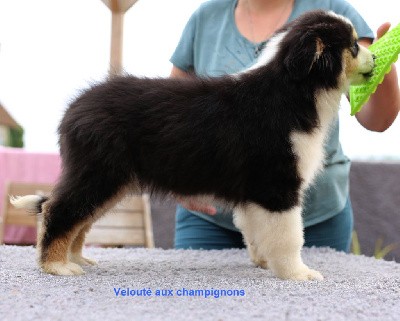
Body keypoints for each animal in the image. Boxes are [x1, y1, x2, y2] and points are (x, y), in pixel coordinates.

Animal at [12, 10, 376, 278]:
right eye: (353, 46)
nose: (375, 58)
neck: (294, 90)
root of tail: (74, 109)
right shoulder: (277, 184)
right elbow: (288, 235)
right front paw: (298, 274)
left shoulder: (254, 191)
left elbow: (255, 230)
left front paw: (263, 262)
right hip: (100, 171)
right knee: (59, 209)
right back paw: (57, 266)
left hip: (109, 179)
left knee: (79, 217)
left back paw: (77, 258)